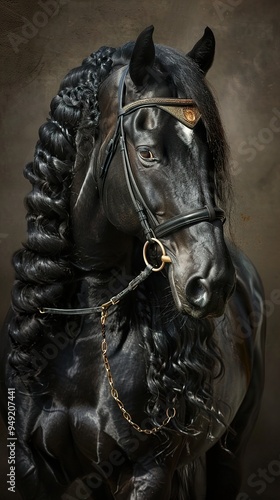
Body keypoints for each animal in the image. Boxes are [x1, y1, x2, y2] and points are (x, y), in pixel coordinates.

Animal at [1, 27, 266, 500]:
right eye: (146, 154)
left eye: (210, 155)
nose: (213, 282)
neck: (89, 328)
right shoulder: (31, 469)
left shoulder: (148, 471)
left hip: (229, 454)